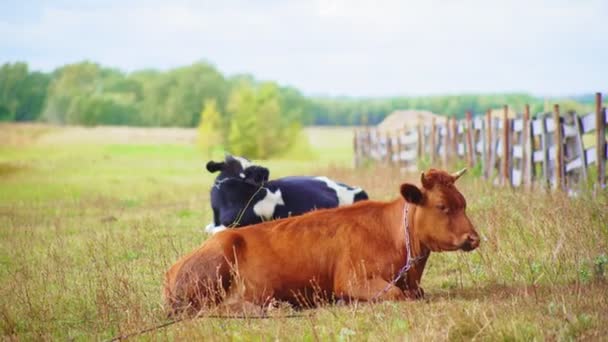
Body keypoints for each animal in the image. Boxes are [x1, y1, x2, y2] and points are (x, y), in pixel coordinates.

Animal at [163, 168, 480, 316]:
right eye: (442, 206)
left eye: (463, 203)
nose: (473, 238)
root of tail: (173, 269)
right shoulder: (353, 280)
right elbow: (394, 294)